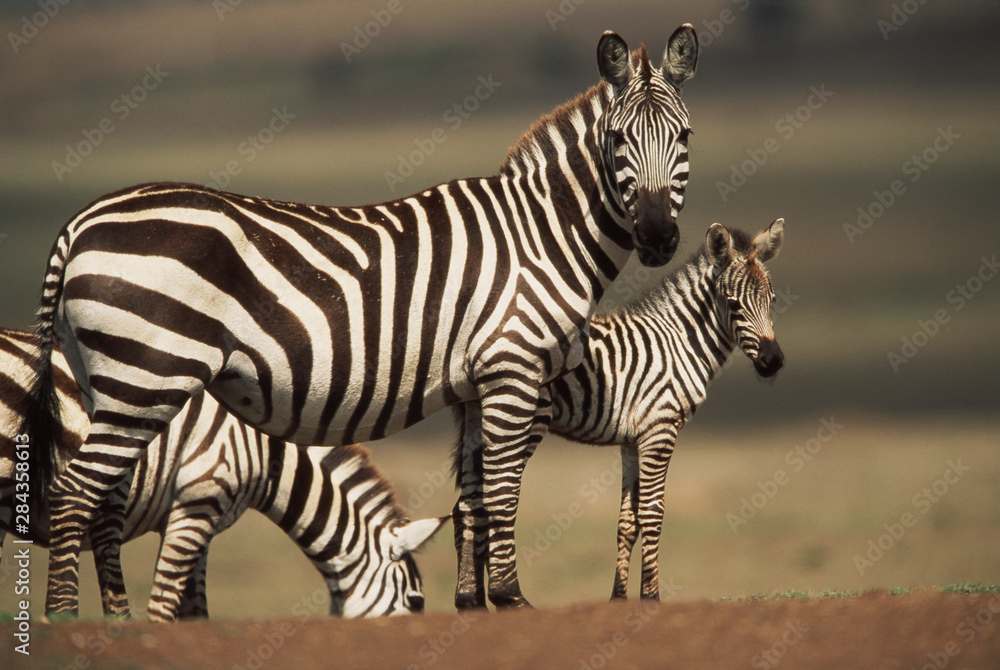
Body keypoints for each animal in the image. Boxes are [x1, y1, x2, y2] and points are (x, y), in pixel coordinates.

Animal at [0, 327, 445, 620]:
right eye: (416, 602)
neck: (264, 451)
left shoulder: (195, 521)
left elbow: (196, 612)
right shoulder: (198, 501)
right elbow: (164, 607)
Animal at [453, 219, 785, 605]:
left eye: (772, 300)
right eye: (733, 304)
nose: (773, 361)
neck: (679, 342)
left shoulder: (632, 440)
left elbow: (628, 521)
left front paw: (618, 598)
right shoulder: (660, 429)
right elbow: (653, 514)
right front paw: (651, 597)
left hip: (477, 422)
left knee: (467, 506)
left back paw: (469, 602)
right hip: (521, 417)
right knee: (490, 498)